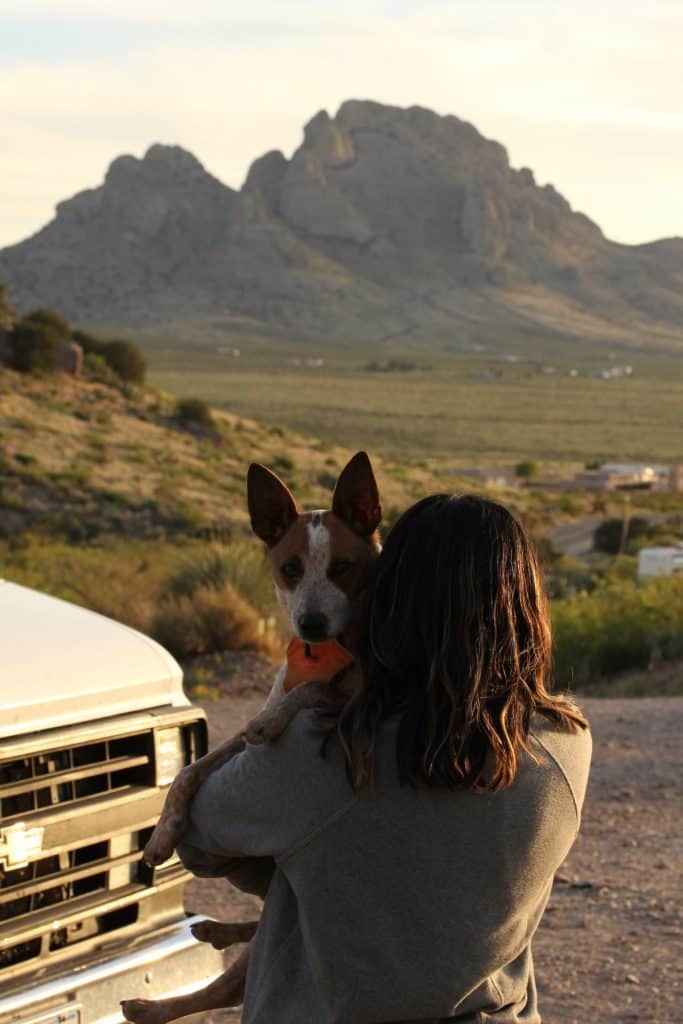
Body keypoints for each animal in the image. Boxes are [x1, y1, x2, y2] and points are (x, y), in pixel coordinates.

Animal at [120, 452, 382, 1024]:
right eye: (290, 568)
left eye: (343, 567)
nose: (311, 623)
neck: (320, 655)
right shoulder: (237, 743)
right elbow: (190, 771)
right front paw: (161, 835)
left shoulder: (354, 694)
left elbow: (309, 694)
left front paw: (279, 717)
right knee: (244, 944)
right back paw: (213, 933)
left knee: (227, 981)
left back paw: (148, 1004)